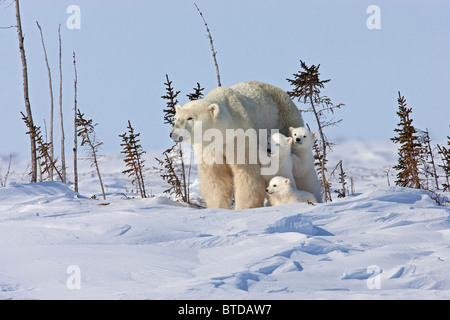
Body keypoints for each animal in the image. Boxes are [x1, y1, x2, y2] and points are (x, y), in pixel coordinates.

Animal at [171, 81, 304, 209]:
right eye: (176, 118)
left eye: (190, 118)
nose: (173, 134)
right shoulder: (209, 147)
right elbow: (215, 175)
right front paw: (218, 207)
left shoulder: (240, 137)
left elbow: (247, 173)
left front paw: (243, 207)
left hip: (285, 120)